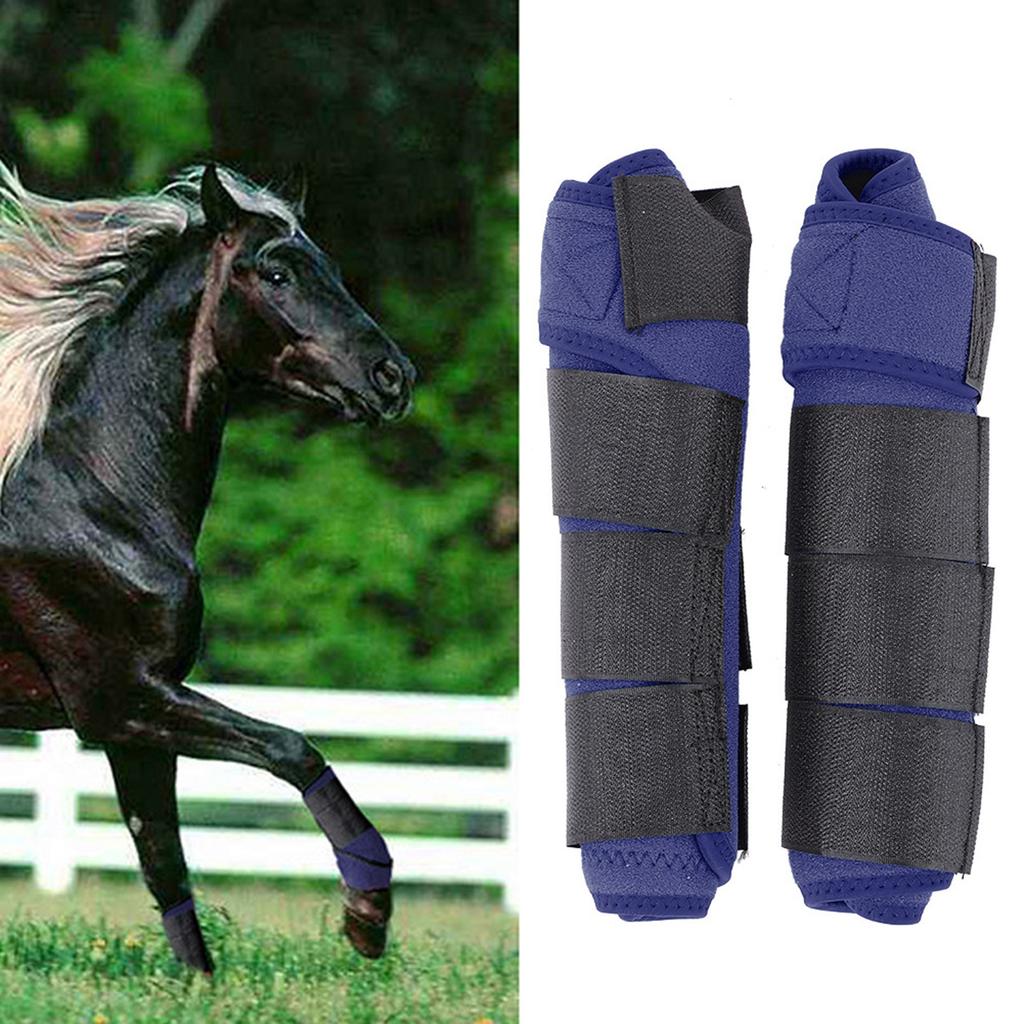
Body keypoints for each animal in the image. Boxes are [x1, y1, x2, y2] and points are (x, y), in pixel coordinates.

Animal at [0, 163, 415, 973]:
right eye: (278, 272)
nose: (393, 377)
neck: (92, 499)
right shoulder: (121, 698)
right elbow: (290, 747)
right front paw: (367, 915)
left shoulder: (135, 722)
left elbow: (164, 861)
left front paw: (200, 982)